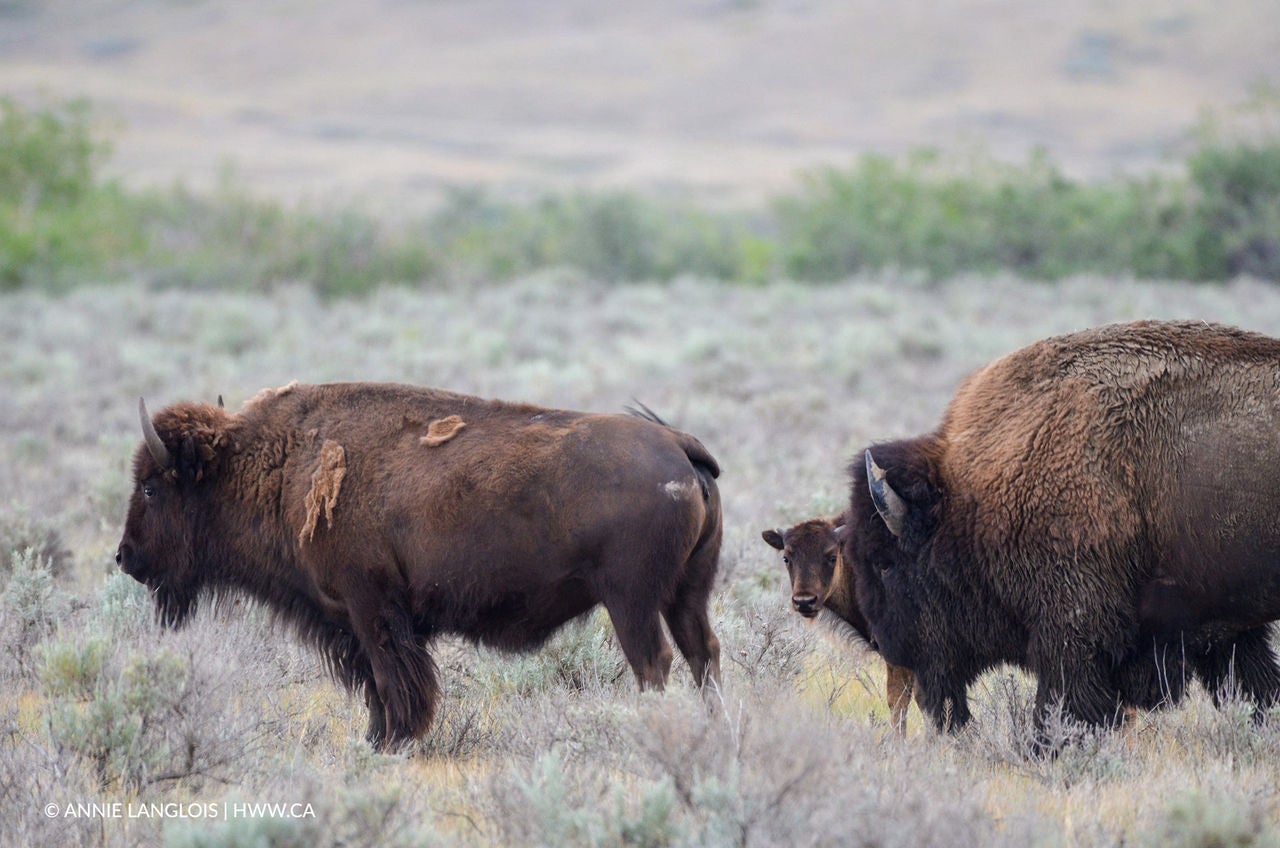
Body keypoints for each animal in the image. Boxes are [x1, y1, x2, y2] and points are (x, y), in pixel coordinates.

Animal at [116, 382, 723, 749]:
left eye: (150, 488)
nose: (125, 557)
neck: (283, 465)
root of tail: (678, 444)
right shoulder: (358, 624)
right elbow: (377, 686)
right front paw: (376, 740)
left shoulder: (373, 611)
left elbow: (392, 682)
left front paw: (393, 742)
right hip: (686, 596)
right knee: (704, 654)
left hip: (631, 601)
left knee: (654, 663)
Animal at [845, 320, 1280, 745]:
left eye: (885, 564)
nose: (882, 644)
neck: (967, 496)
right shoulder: (1226, 627)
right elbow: (1257, 690)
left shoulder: (1070, 631)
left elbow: (1061, 709)